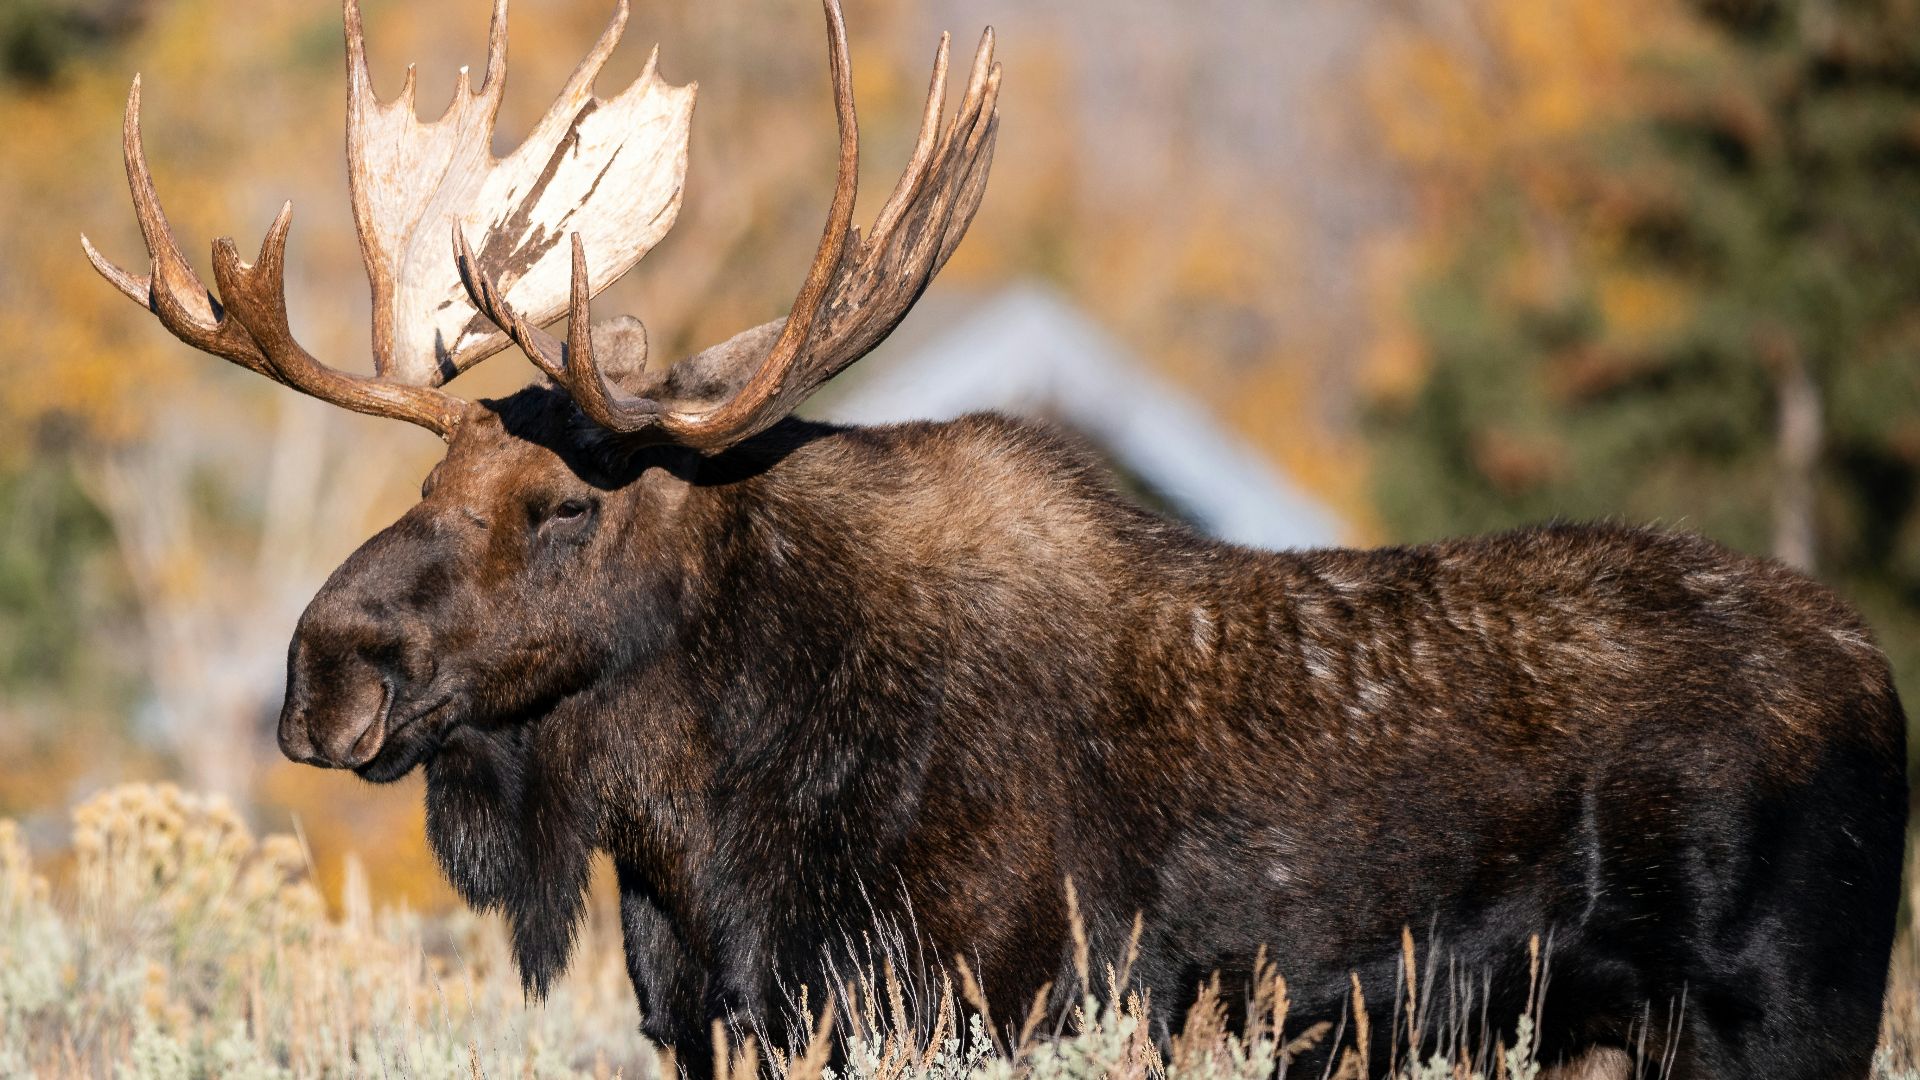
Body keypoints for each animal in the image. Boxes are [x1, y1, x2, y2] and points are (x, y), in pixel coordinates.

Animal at [84, 1, 1907, 1077]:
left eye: (564, 506)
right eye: (423, 490)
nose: (321, 673)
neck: (700, 837)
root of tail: (1878, 675)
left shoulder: (996, 1005)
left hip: (1785, 1013)